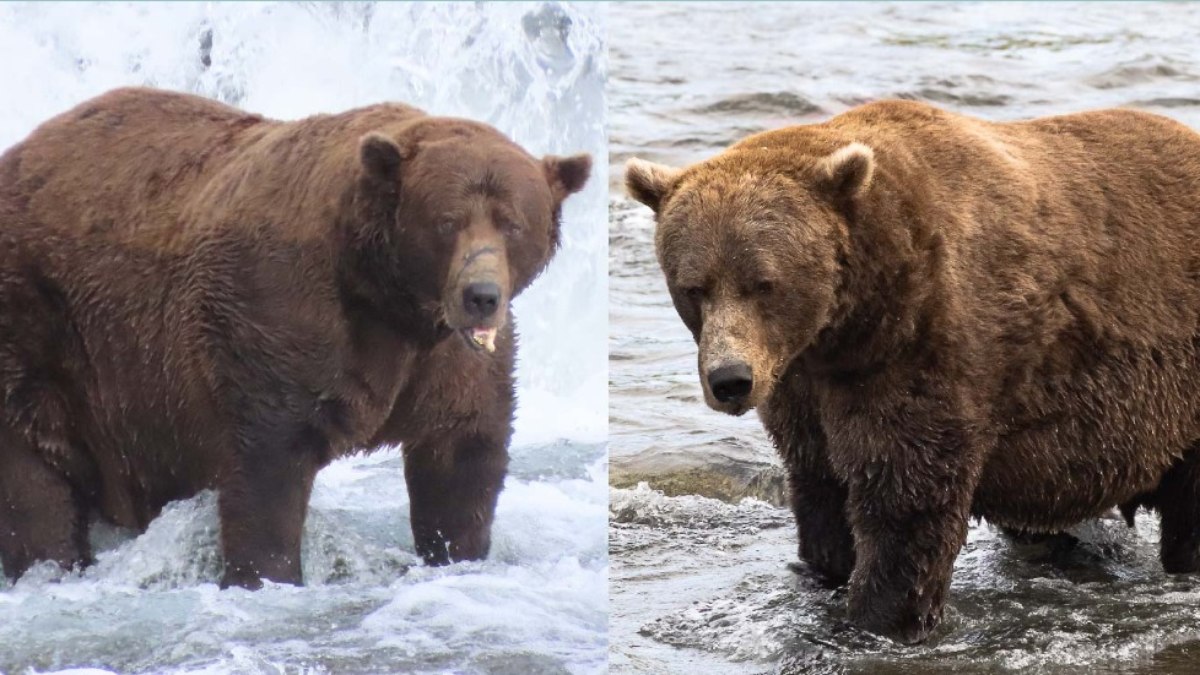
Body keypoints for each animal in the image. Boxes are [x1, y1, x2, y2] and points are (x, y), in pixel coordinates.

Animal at [0, 87, 590, 589]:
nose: (481, 295)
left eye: (512, 222)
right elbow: (268, 465)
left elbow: (462, 453)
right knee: (32, 471)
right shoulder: (278, 316)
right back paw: (51, 565)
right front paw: (266, 573)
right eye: (446, 221)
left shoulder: (447, 361)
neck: (390, 300)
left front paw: (456, 552)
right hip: (48, 324)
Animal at [625, 99, 1200, 644]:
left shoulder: (921, 348)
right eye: (694, 286)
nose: (730, 380)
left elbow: (905, 500)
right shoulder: (802, 389)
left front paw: (878, 618)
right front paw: (826, 572)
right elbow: (821, 490)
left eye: (763, 283)